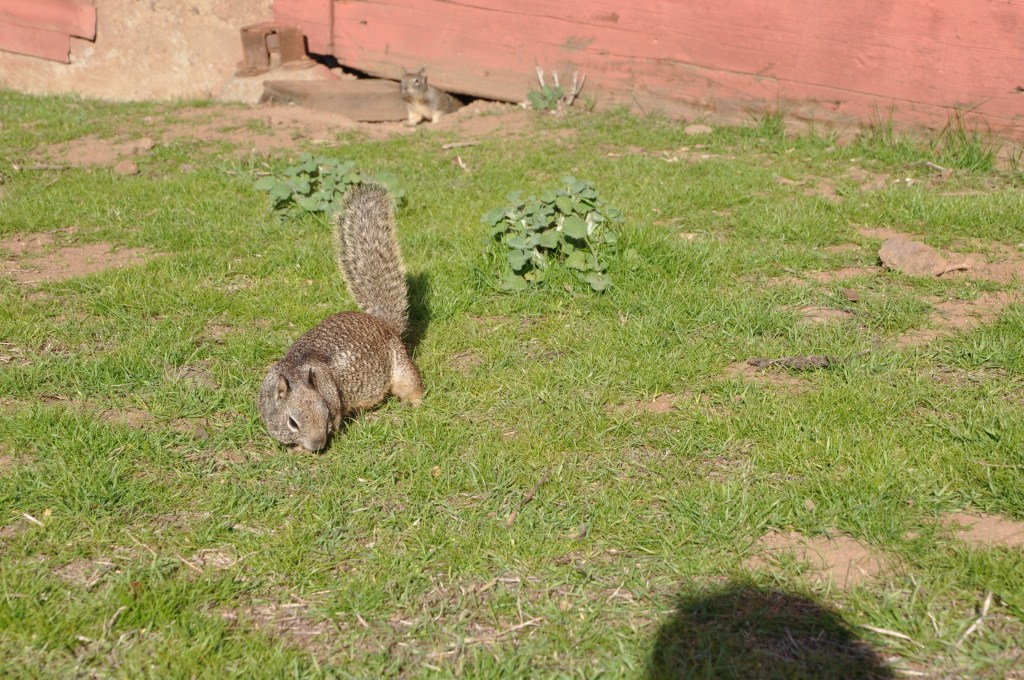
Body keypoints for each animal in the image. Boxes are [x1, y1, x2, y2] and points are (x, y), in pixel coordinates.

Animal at [258, 183, 424, 452]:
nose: (318, 445)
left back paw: (416, 403)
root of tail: (382, 323)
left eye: (326, 413)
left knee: (411, 384)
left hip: (400, 365)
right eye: (292, 422)